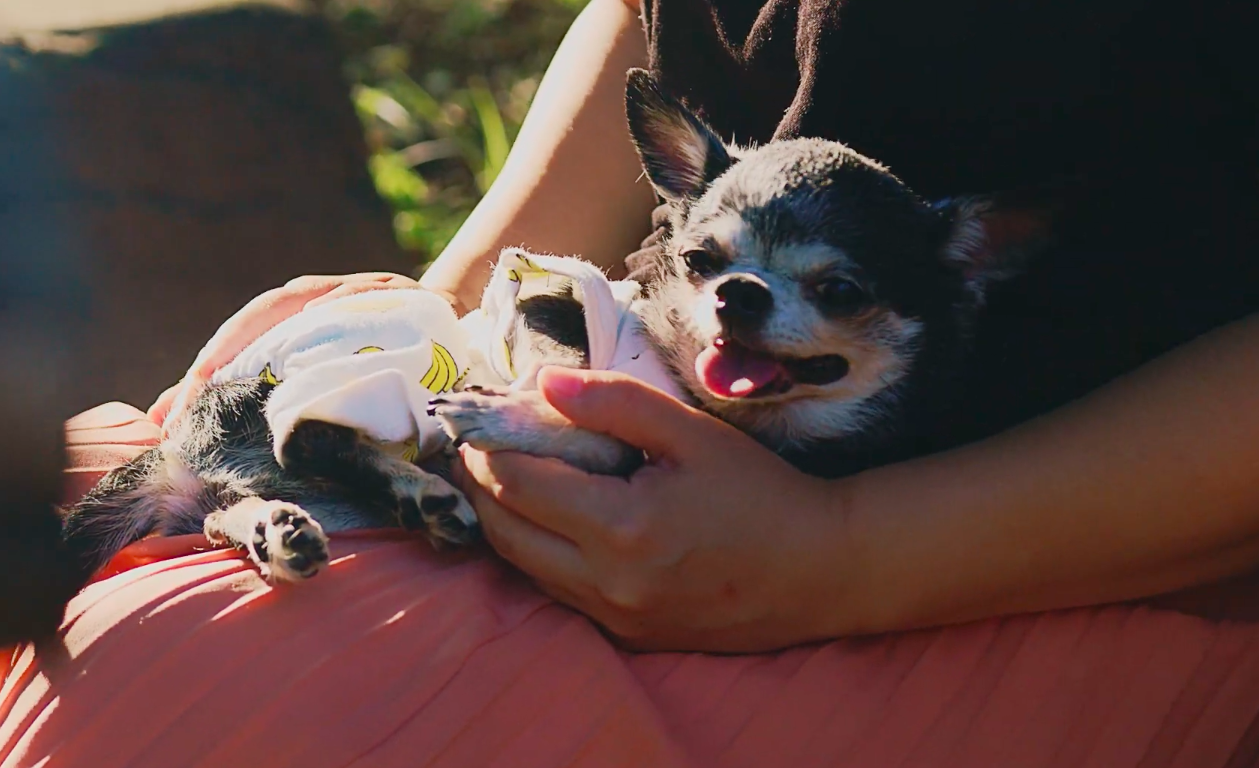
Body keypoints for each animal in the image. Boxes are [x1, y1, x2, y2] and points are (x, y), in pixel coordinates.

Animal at [14, 71, 1047, 642]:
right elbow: (562, 390)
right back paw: (407, 485)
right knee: (308, 433)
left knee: (248, 502)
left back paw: (293, 525)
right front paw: (509, 409)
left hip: (279, 481)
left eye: (841, 292)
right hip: (351, 370)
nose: (739, 294)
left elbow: (605, 437)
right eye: (699, 259)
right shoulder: (549, 306)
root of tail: (182, 452)